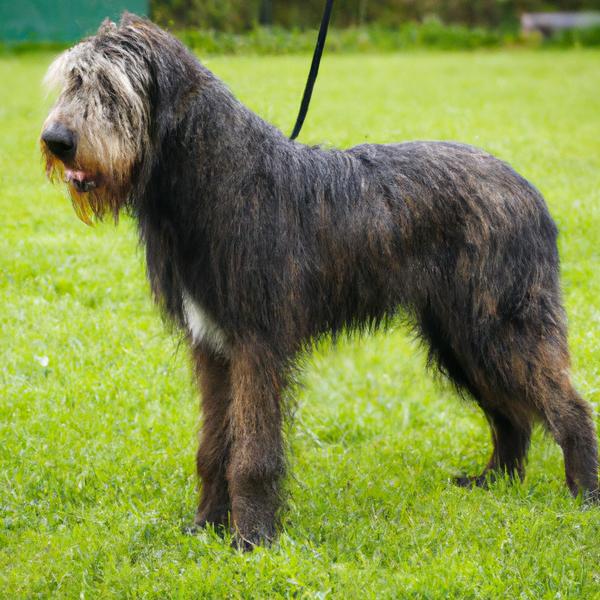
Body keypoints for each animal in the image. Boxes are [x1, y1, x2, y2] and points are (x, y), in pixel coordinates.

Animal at [39, 12, 596, 548]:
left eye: (112, 88)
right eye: (73, 81)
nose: (55, 141)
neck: (214, 177)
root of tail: (528, 190)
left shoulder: (257, 345)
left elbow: (252, 454)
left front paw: (253, 538)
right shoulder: (213, 347)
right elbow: (212, 447)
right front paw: (206, 526)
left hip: (500, 328)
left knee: (569, 406)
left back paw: (584, 496)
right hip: (459, 336)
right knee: (511, 415)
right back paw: (494, 481)